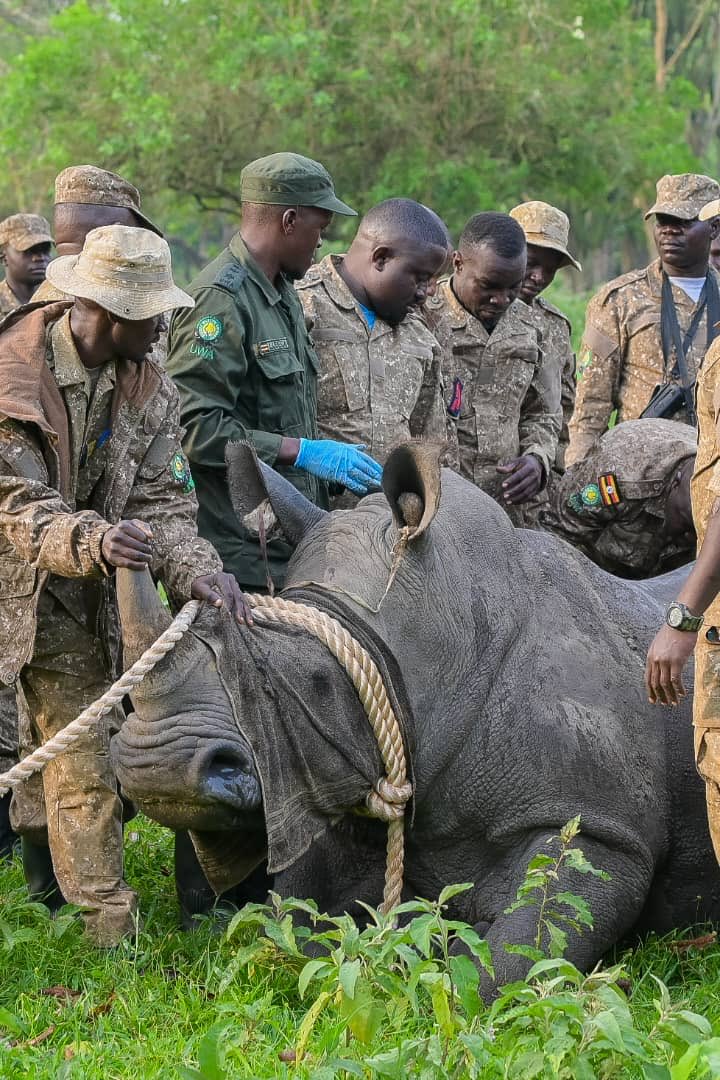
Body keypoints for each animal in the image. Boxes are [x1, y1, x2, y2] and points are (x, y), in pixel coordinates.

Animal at [111, 442, 720, 989]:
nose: (158, 768)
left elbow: (517, 955)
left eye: (318, 683)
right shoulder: (325, 774)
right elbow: (299, 925)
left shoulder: (599, 824)